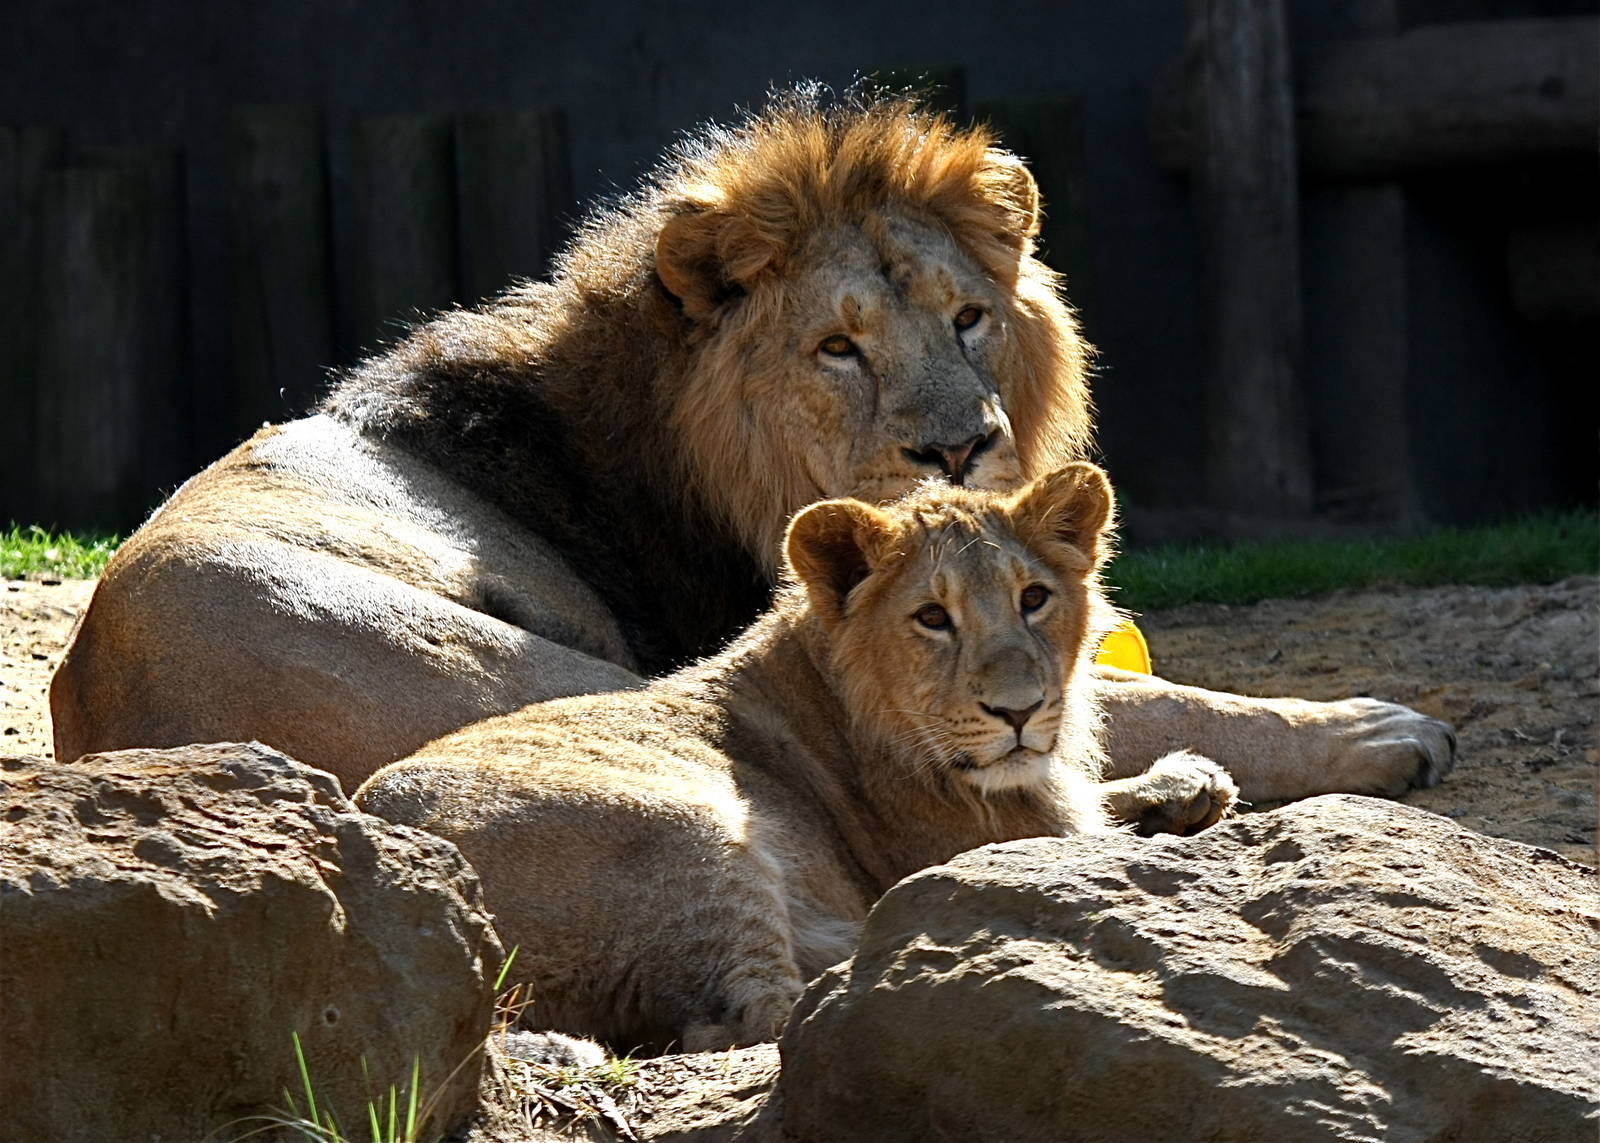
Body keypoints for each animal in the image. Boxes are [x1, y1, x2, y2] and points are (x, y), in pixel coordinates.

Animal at [50, 88, 1453, 806]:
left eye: (967, 317)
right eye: (838, 348)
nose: (964, 449)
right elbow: (1132, 692)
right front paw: (1372, 728)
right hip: (524, 671)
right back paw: (1180, 789)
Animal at [355, 463, 1238, 1053]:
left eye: (1034, 597)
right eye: (932, 617)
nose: (1018, 710)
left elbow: (1095, 798)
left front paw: (1186, 781)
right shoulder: (993, 842)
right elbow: (1086, 839)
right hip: (693, 830)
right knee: (753, 1016)